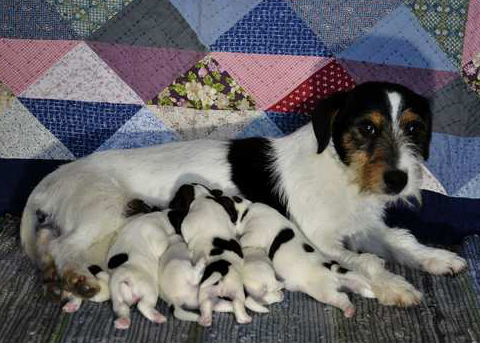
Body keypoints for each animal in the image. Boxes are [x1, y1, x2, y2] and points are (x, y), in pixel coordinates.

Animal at [240, 203, 376, 318]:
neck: (248, 210)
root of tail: (330, 268)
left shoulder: (255, 233)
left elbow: (244, 240)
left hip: (324, 292)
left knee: (341, 298)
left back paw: (349, 310)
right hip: (347, 284)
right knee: (357, 290)